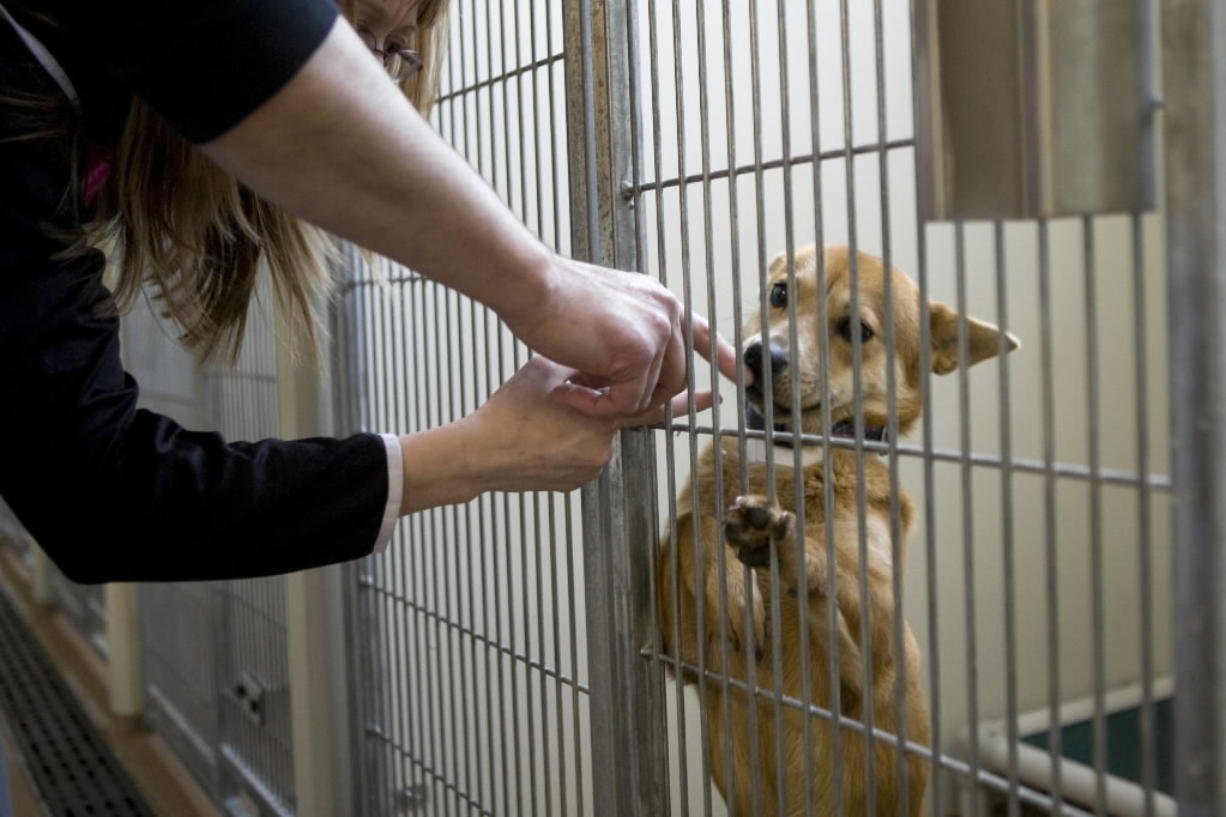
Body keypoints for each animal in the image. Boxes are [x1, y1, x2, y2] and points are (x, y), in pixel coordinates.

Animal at [657, 245, 1020, 809]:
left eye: (856, 329)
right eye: (780, 292)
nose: (762, 355)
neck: (790, 456)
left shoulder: (881, 664)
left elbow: (841, 576)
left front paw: (783, 543)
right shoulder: (682, 653)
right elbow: (694, 524)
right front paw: (732, 584)